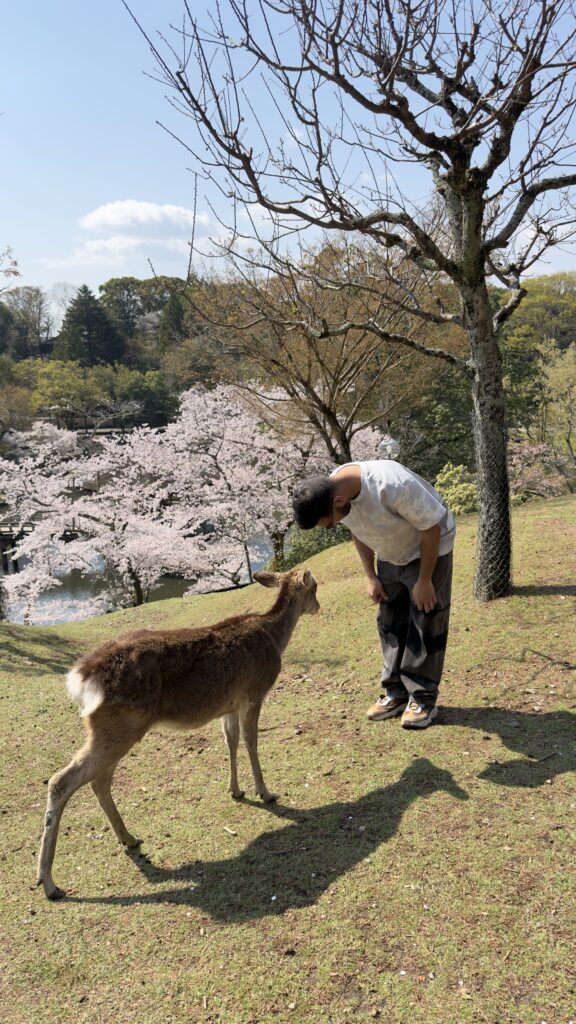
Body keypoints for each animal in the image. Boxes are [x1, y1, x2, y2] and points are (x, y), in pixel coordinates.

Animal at [37, 568, 319, 900]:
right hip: (119, 726)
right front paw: (266, 793)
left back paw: (129, 838)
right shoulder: (254, 693)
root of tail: (80, 678)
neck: (274, 637)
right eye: (315, 586)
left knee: (98, 781)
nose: (317, 607)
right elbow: (251, 740)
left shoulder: (230, 704)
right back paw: (49, 882)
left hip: (112, 730)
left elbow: (231, 741)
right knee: (62, 781)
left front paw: (236, 790)